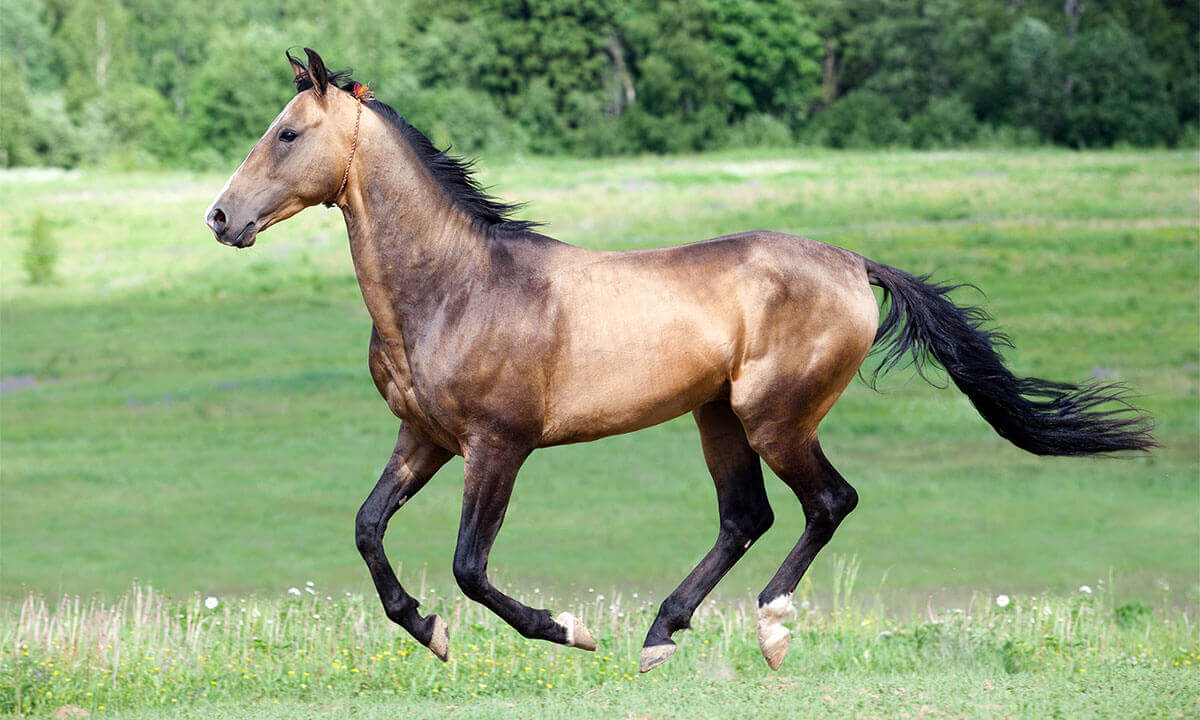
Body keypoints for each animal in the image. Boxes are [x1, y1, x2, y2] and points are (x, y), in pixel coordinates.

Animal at [205, 49, 1154, 672]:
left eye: (287, 134)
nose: (220, 217)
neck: (455, 289)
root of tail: (854, 264)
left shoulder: (498, 444)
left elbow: (471, 566)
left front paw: (567, 629)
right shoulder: (424, 438)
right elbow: (369, 530)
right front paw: (428, 631)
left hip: (776, 416)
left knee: (826, 502)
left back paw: (767, 628)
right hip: (718, 414)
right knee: (747, 517)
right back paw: (661, 634)